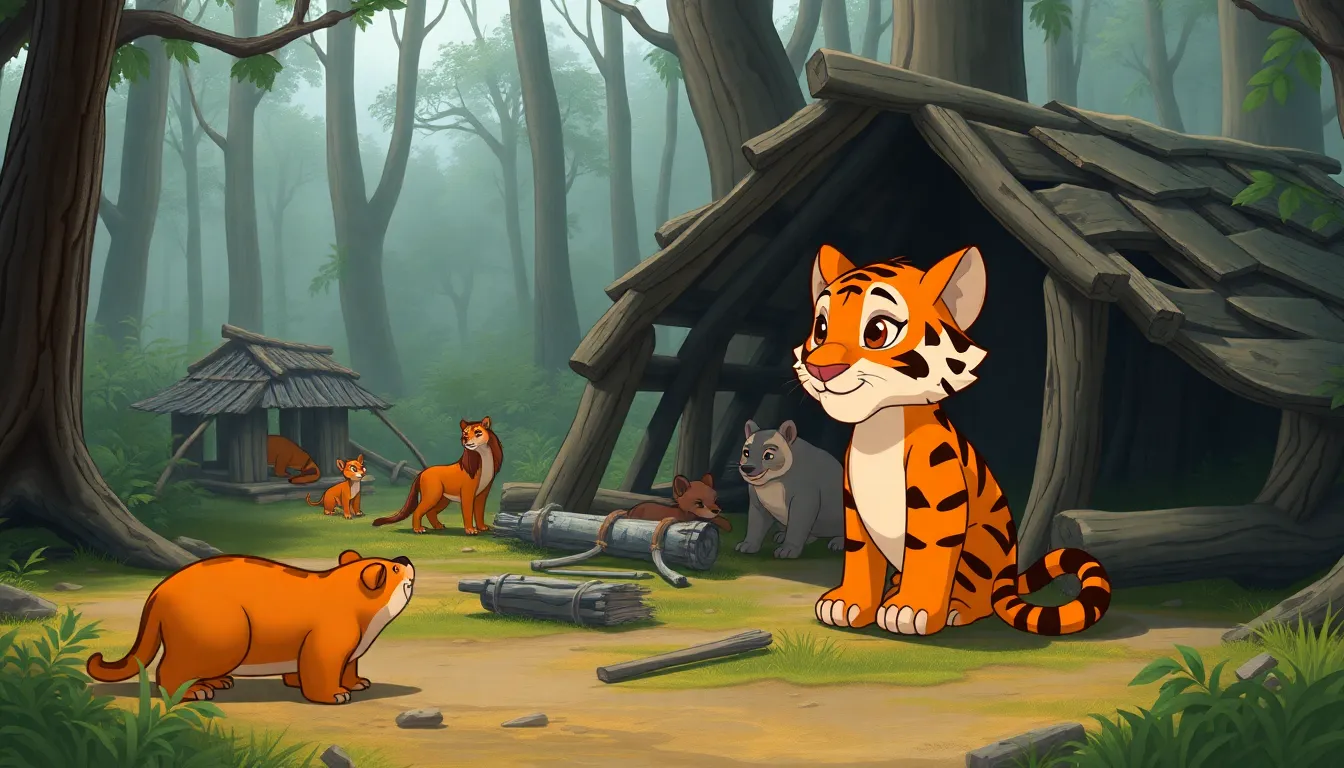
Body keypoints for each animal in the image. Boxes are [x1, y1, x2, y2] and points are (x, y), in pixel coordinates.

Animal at [794, 244, 1112, 637]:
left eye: (877, 331)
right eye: (821, 328)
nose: (821, 369)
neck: (879, 425)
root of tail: (1010, 571)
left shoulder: (935, 502)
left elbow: (927, 552)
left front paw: (910, 611)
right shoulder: (855, 504)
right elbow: (859, 554)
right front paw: (848, 603)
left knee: (983, 597)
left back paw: (952, 608)